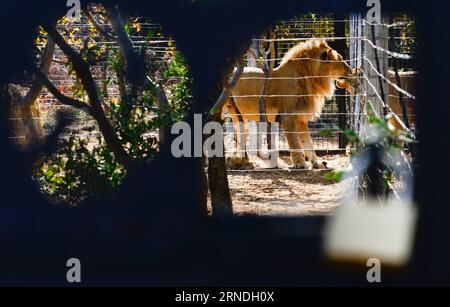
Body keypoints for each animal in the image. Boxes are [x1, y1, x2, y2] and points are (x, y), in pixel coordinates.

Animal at [223, 39, 354, 170]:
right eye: (340, 59)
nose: (351, 70)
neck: (309, 78)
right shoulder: (288, 116)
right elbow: (295, 142)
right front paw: (300, 163)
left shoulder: (300, 118)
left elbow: (308, 142)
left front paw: (316, 163)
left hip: (237, 114)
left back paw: (240, 160)